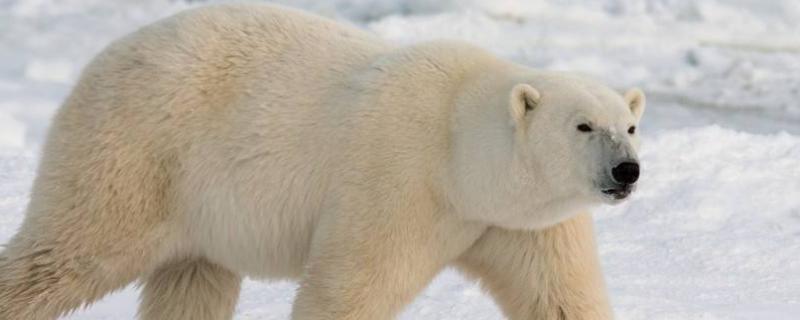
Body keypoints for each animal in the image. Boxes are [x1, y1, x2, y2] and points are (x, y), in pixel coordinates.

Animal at [0, 3, 644, 320]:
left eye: (631, 125)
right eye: (584, 125)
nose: (627, 171)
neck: (458, 149)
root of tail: (104, 57)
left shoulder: (521, 224)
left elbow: (559, 297)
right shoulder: (397, 180)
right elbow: (348, 290)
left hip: (195, 211)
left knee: (191, 284)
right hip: (137, 151)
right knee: (69, 252)